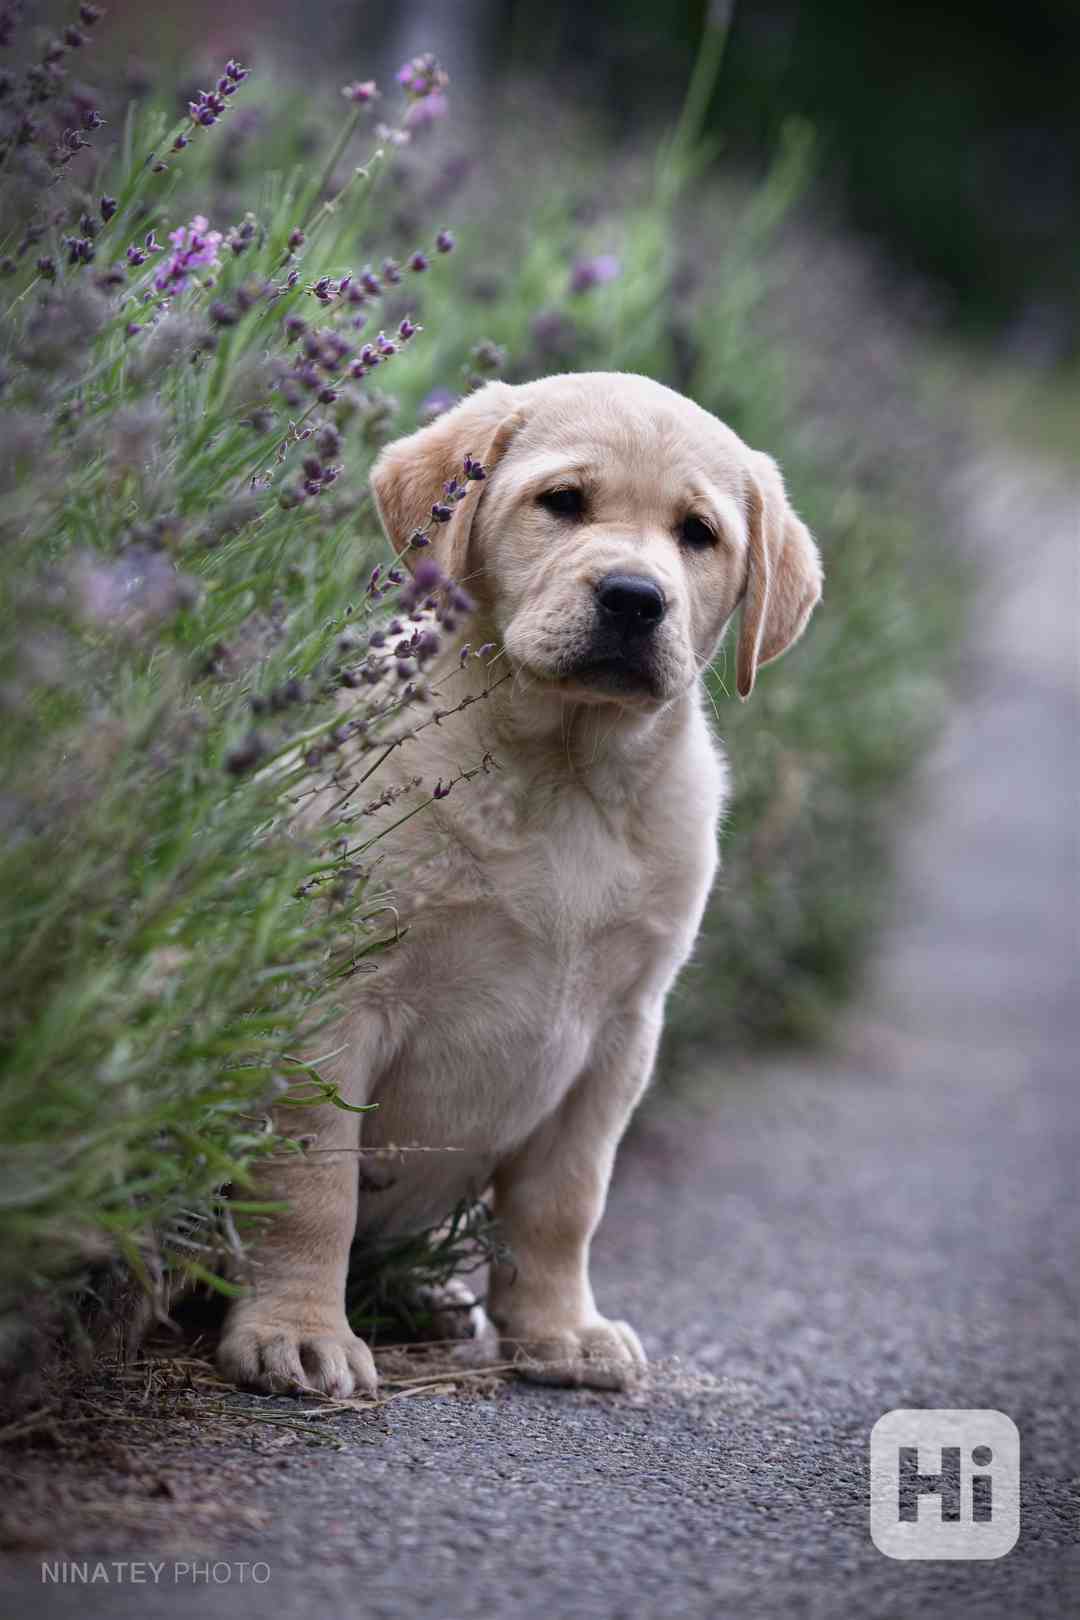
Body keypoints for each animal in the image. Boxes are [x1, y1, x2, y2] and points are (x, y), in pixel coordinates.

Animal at [223, 367, 822, 1393]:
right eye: (564, 502)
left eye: (697, 534)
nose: (634, 597)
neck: (564, 772)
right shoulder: (330, 1001)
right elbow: (313, 1183)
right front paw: (296, 1329)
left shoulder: (620, 1034)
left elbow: (563, 1201)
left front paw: (558, 1330)